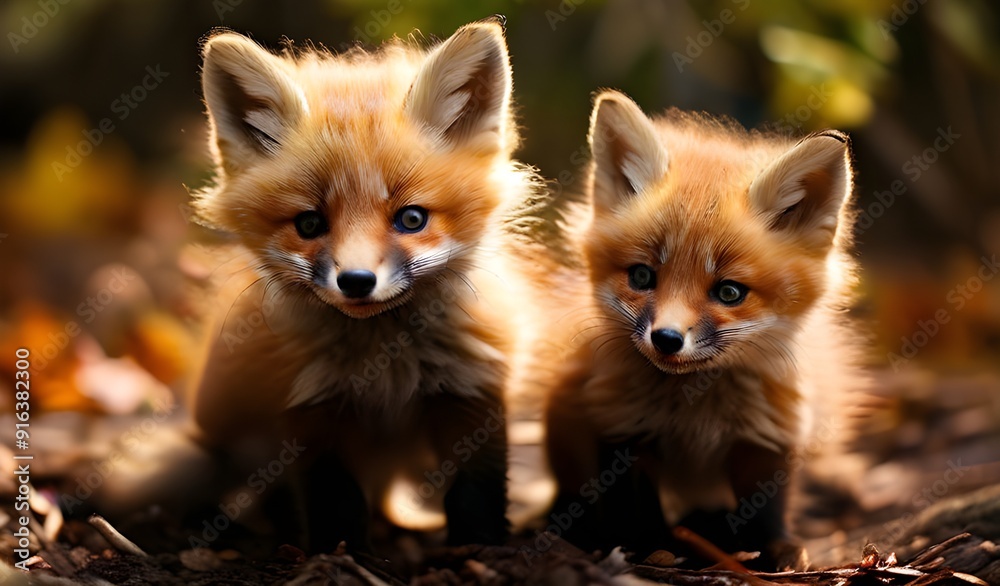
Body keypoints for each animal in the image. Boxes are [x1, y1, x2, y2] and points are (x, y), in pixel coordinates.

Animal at [90, 19, 536, 553]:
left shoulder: (472, 392)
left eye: (411, 219)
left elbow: (476, 492)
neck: (385, 366)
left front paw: (478, 548)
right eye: (308, 224)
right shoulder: (309, 409)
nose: (357, 281)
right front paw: (338, 554)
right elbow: (336, 503)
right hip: (230, 443)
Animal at [539, 90, 862, 570]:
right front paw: (645, 548)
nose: (667, 339)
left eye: (729, 292)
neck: (694, 417)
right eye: (641, 276)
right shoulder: (622, 425)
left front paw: (773, 549)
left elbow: (766, 506)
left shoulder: (768, 433)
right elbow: (632, 509)